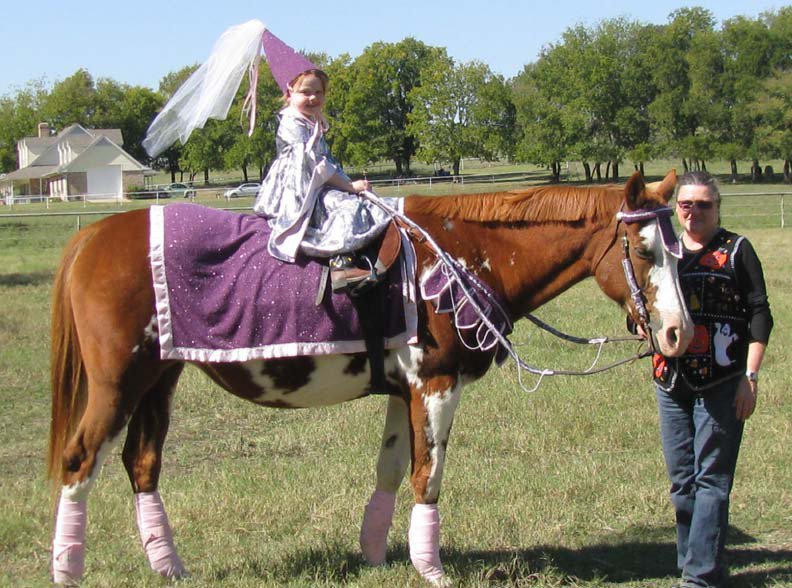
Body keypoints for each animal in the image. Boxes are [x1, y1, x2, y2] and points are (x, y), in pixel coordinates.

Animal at [47, 170, 692, 586]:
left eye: (682, 248)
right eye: (642, 250)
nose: (678, 333)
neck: (461, 251)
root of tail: (91, 236)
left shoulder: (403, 391)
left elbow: (390, 470)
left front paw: (377, 555)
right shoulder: (436, 385)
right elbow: (428, 477)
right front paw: (431, 568)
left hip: (159, 380)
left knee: (141, 465)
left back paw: (170, 568)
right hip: (118, 384)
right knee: (80, 461)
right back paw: (67, 570)